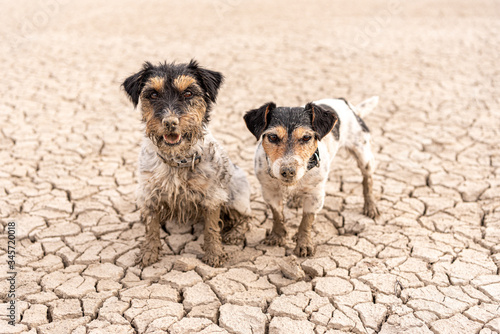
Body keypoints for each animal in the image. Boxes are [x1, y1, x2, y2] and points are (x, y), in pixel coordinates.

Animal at [123, 60, 252, 268]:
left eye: (188, 93)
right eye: (153, 94)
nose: (170, 122)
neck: (176, 159)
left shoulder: (212, 196)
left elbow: (211, 228)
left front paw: (214, 253)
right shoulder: (149, 193)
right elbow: (151, 226)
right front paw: (149, 252)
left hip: (236, 197)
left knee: (247, 218)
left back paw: (234, 234)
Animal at [243, 95, 378, 258]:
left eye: (306, 137)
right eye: (273, 137)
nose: (288, 171)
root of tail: (344, 102)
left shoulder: (316, 195)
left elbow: (306, 221)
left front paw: (304, 244)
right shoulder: (269, 191)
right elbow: (277, 215)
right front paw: (277, 236)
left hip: (363, 154)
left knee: (367, 179)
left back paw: (370, 206)